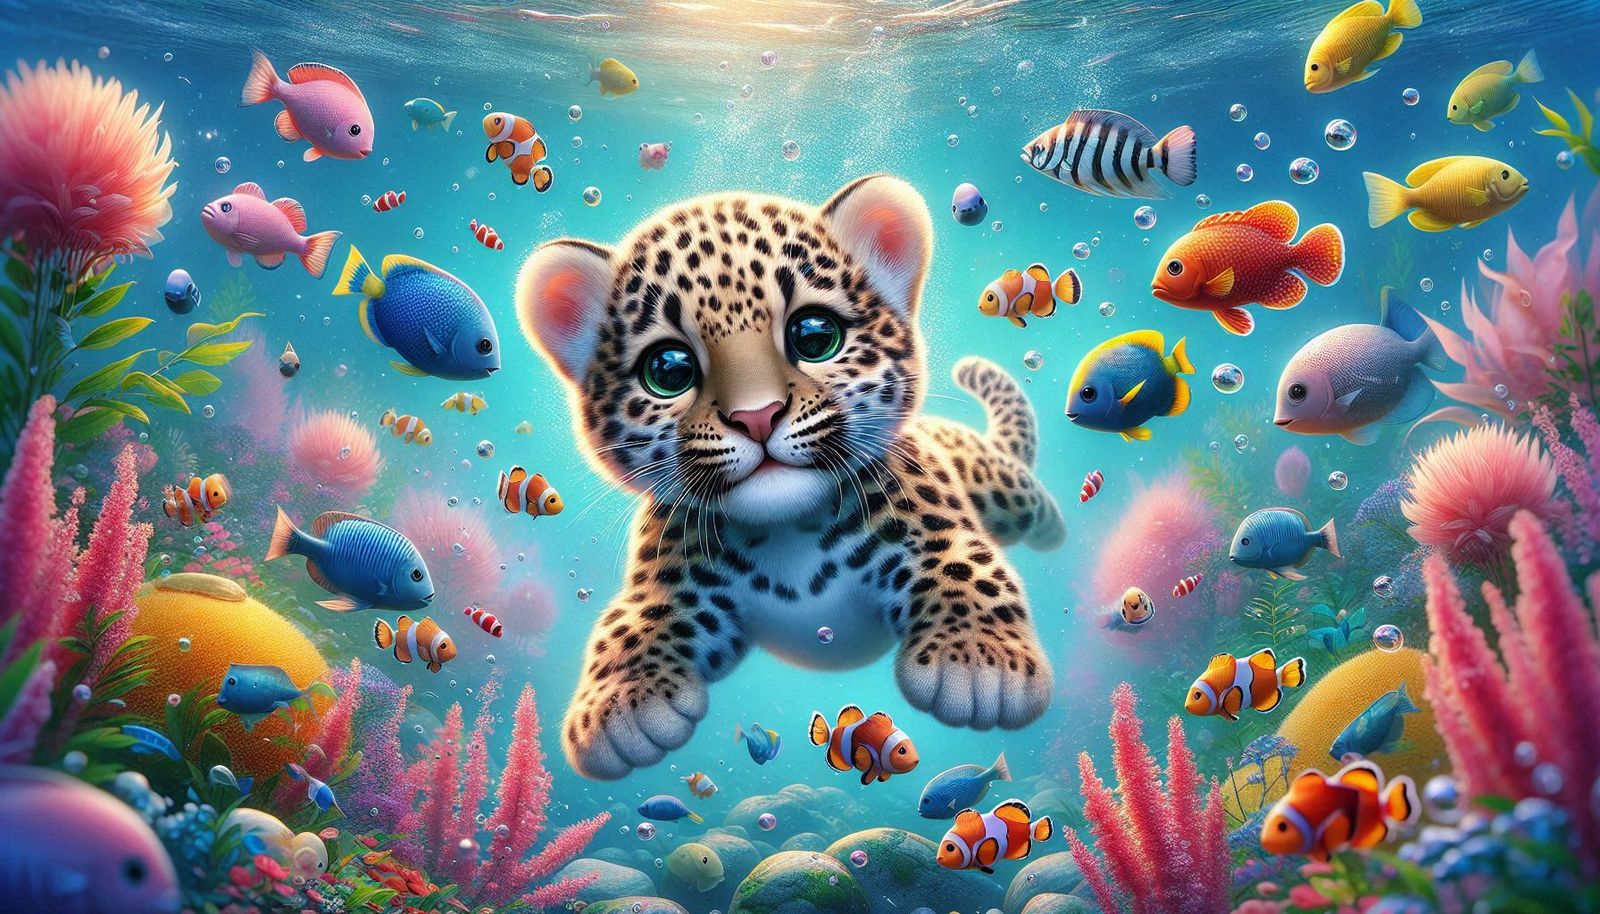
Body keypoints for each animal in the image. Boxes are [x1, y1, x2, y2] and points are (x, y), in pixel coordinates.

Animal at [515, 174, 1067, 780]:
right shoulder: (676, 580)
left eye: (814, 335)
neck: (789, 536)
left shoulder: (931, 527)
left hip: (1004, 493)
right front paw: (620, 700)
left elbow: (965, 567)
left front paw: (981, 658)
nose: (758, 415)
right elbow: (632, 621)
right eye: (668, 370)